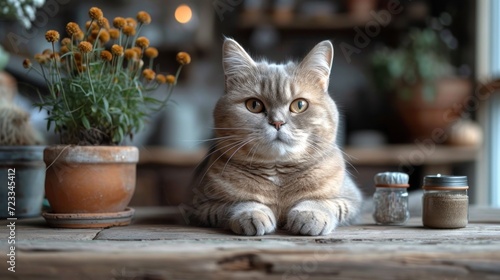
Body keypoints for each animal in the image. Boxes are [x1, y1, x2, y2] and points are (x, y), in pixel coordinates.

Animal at [188, 38, 364, 236]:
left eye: (300, 105)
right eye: (254, 105)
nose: (277, 122)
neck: (278, 174)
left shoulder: (352, 200)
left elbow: (322, 202)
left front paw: (310, 214)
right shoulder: (200, 207)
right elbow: (237, 203)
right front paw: (252, 213)